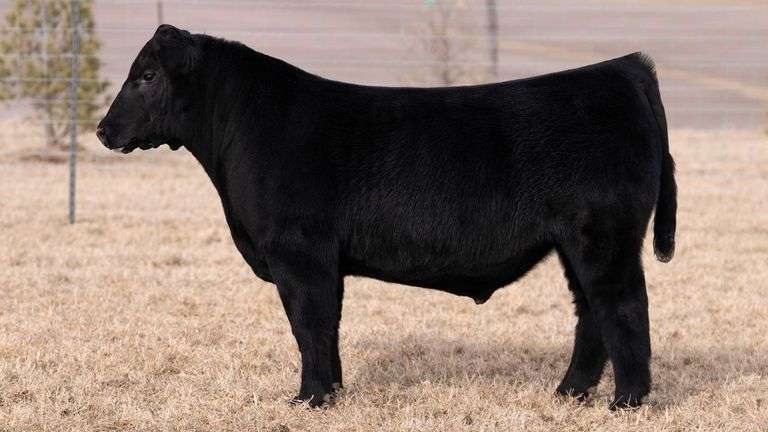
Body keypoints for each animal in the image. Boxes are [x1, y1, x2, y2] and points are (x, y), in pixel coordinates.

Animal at [97, 25, 677, 410]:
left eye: (146, 75)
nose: (103, 131)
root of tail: (623, 68)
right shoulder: (320, 262)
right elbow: (326, 326)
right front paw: (330, 393)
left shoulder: (298, 254)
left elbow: (308, 323)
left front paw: (308, 399)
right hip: (576, 244)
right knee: (591, 313)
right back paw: (569, 393)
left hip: (603, 237)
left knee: (623, 306)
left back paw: (625, 401)